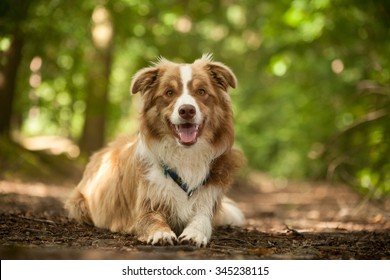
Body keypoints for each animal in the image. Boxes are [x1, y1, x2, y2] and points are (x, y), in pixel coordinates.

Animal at [65, 53, 245, 246]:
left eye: (202, 91)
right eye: (169, 92)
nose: (187, 110)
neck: (185, 155)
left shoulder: (207, 202)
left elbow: (202, 220)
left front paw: (194, 233)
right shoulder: (145, 208)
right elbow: (153, 220)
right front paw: (162, 233)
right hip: (80, 204)